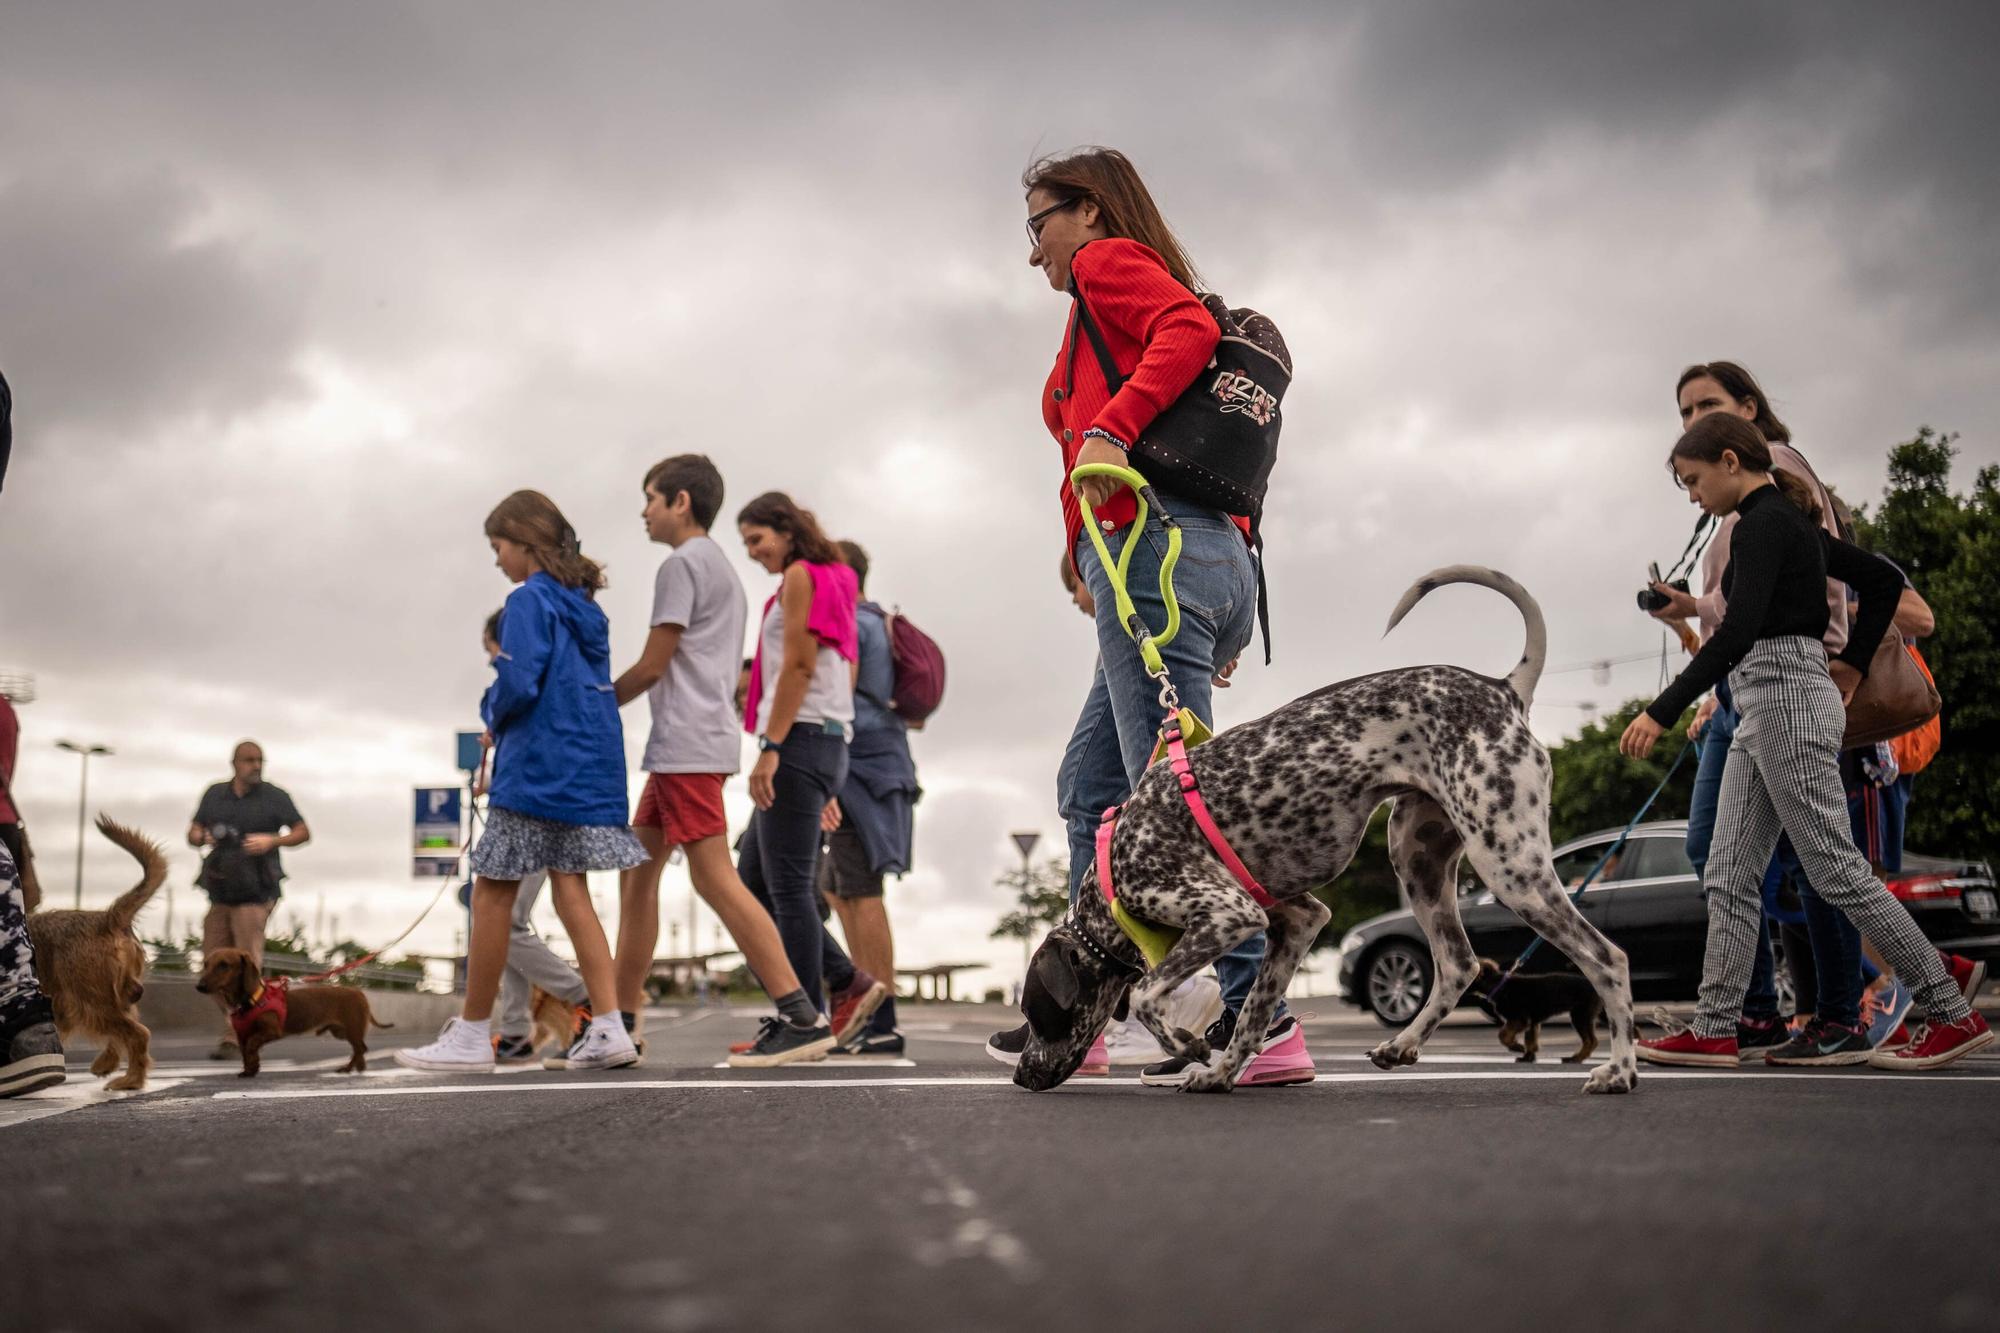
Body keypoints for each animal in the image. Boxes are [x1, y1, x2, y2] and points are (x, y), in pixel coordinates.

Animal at [23, 816, 166, 1088]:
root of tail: (107, 918)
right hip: (114, 995)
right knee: (124, 1030)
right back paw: (108, 1065)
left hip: (89, 999)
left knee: (137, 1034)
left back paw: (130, 1080)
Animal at [195, 940, 394, 1072]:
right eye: (206, 964)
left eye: (224, 965)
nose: (199, 986)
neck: (251, 1000)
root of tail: (359, 993)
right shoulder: (242, 1035)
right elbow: (246, 1052)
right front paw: (249, 1070)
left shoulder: (271, 1031)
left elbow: (252, 1045)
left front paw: (252, 1066)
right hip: (341, 1032)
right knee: (359, 1049)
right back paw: (358, 1067)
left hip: (352, 1029)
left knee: (360, 1048)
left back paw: (348, 1068)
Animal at [1464, 956, 1600, 1056]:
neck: (1499, 985)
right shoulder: (1532, 1021)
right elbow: (1530, 1039)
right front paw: (1527, 1054)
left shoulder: (1519, 1019)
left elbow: (1502, 1035)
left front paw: (1516, 1046)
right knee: (1592, 1040)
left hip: (1580, 1015)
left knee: (1590, 1041)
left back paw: (1575, 1058)